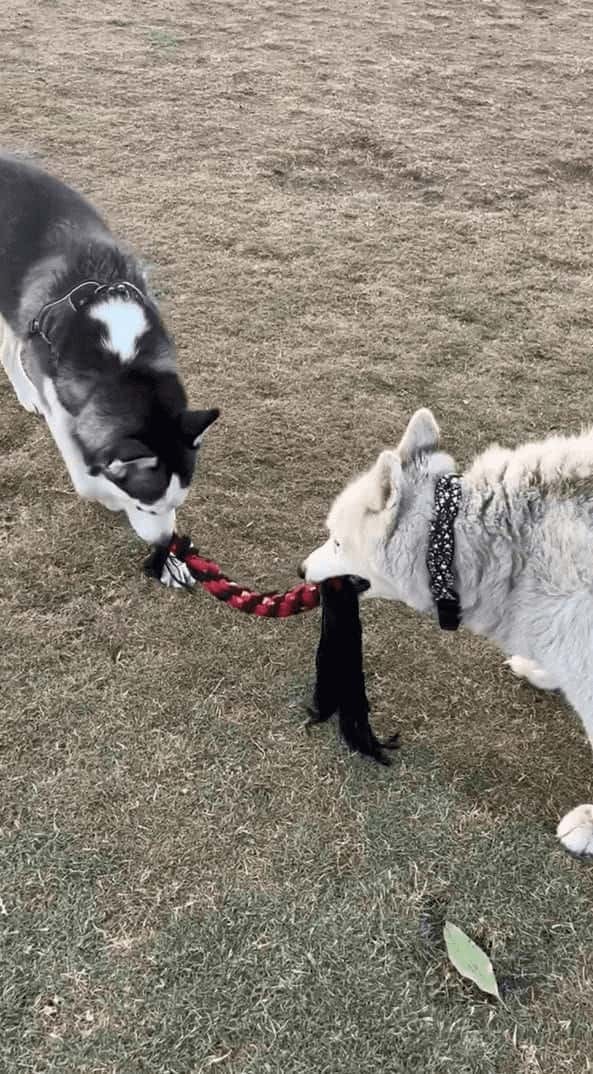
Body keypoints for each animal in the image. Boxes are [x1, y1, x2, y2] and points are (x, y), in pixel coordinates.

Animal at [0, 153, 218, 545]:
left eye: (179, 502)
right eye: (146, 507)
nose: (166, 543)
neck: (122, 362)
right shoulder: (61, 410)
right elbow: (85, 479)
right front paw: (107, 495)